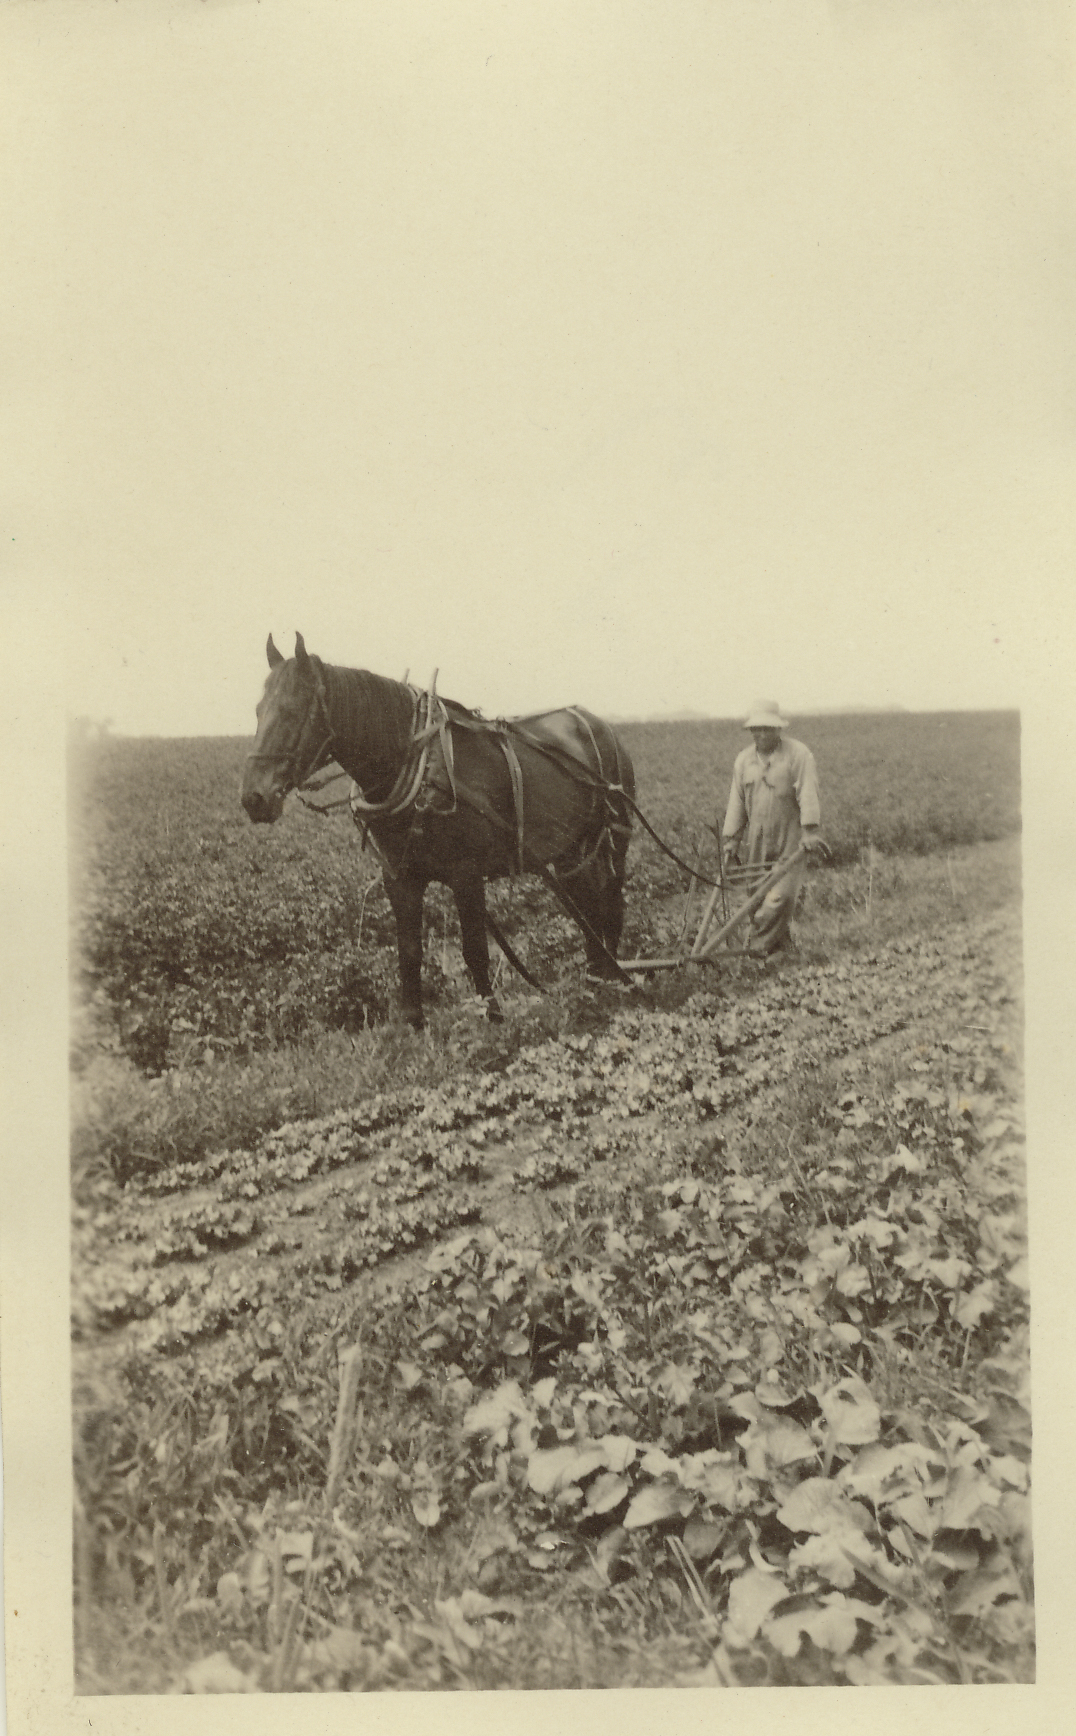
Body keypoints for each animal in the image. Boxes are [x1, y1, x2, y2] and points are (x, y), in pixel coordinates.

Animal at [239, 635, 635, 1013]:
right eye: (257, 711)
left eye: (292, 712)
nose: (253, 798)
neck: (422, 769)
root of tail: (596, 722)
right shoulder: (400, 878)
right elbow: (409, 956)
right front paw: (413, 1024)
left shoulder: (467, 874)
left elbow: (475, 953)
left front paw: (495, 1022)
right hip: (571, 848)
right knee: (589, 906)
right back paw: (595, 979)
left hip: (614, 838)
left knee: (611, 904)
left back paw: (615, 982)